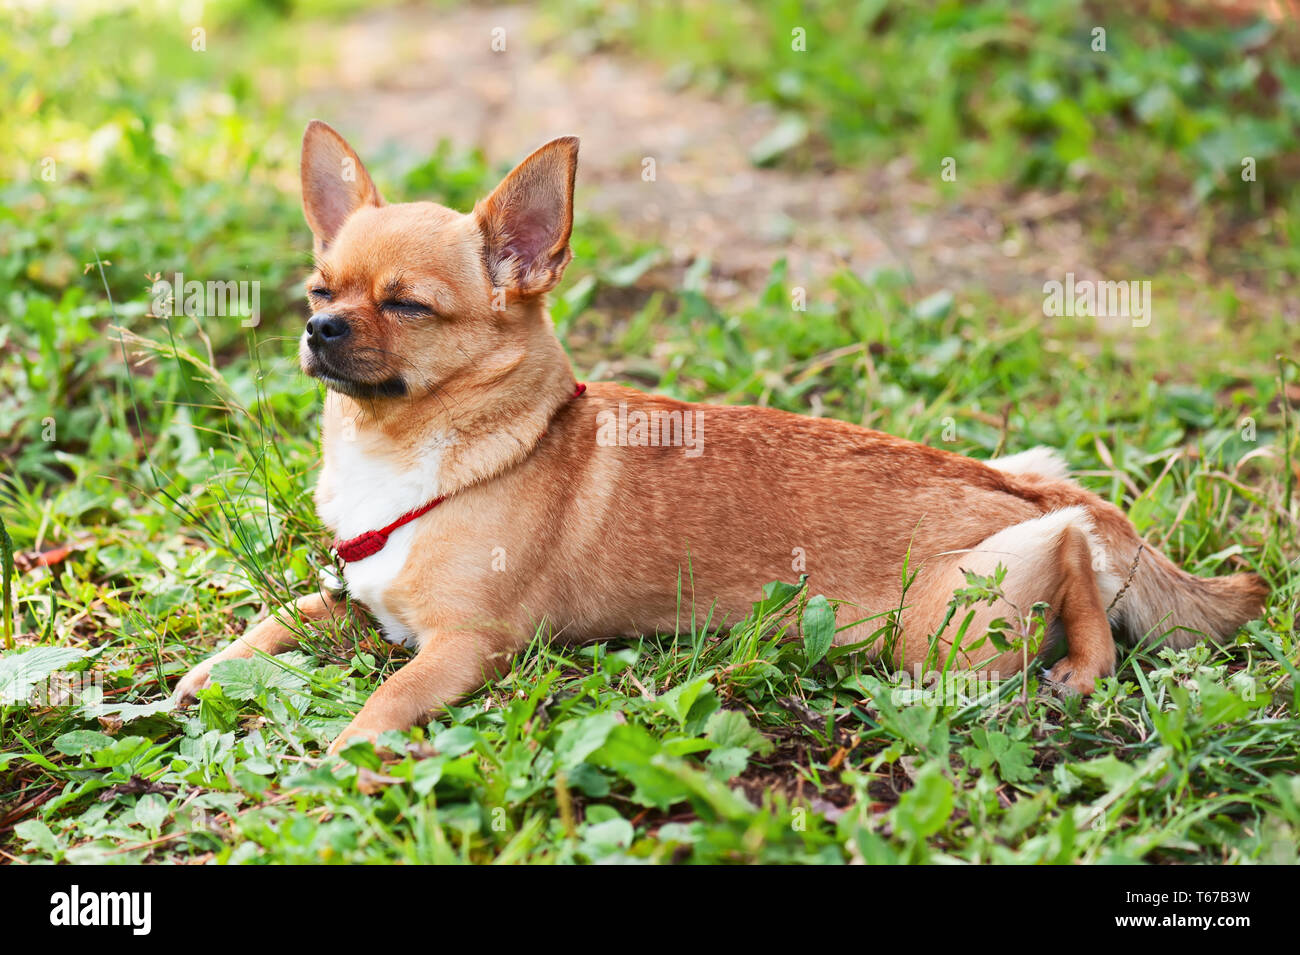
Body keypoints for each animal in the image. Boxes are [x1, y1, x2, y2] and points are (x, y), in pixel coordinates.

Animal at [172, 121, 1258, 753]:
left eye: (406, 306)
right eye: (319, 289)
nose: (319, 329)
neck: (411, 451)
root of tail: (1041, 495)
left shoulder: (460, 648)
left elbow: (386, 702)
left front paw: (345, 754)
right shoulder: (356, 597)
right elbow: (274, 621)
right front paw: (200, 677)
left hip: (944, 626)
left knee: (1073, 567)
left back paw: (1083, 664)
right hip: (1018, 499)